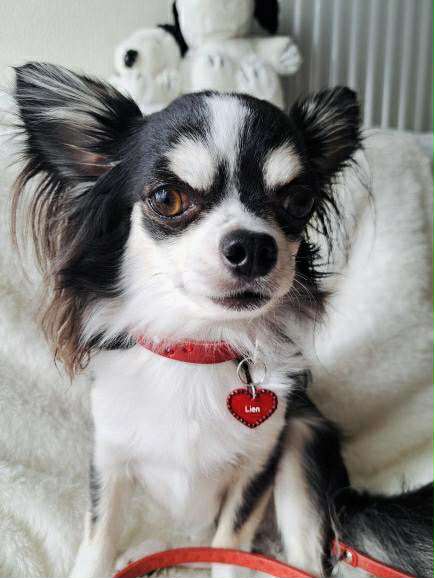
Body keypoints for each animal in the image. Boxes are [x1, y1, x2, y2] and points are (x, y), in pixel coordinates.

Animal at [12, 63, 433, 578]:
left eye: (298, 200)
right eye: (167, 198)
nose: (253, 246)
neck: (196, 348)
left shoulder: (259, 465)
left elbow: (229, 543)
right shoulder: (109, 459)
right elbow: (98, 537)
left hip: (304, 440)